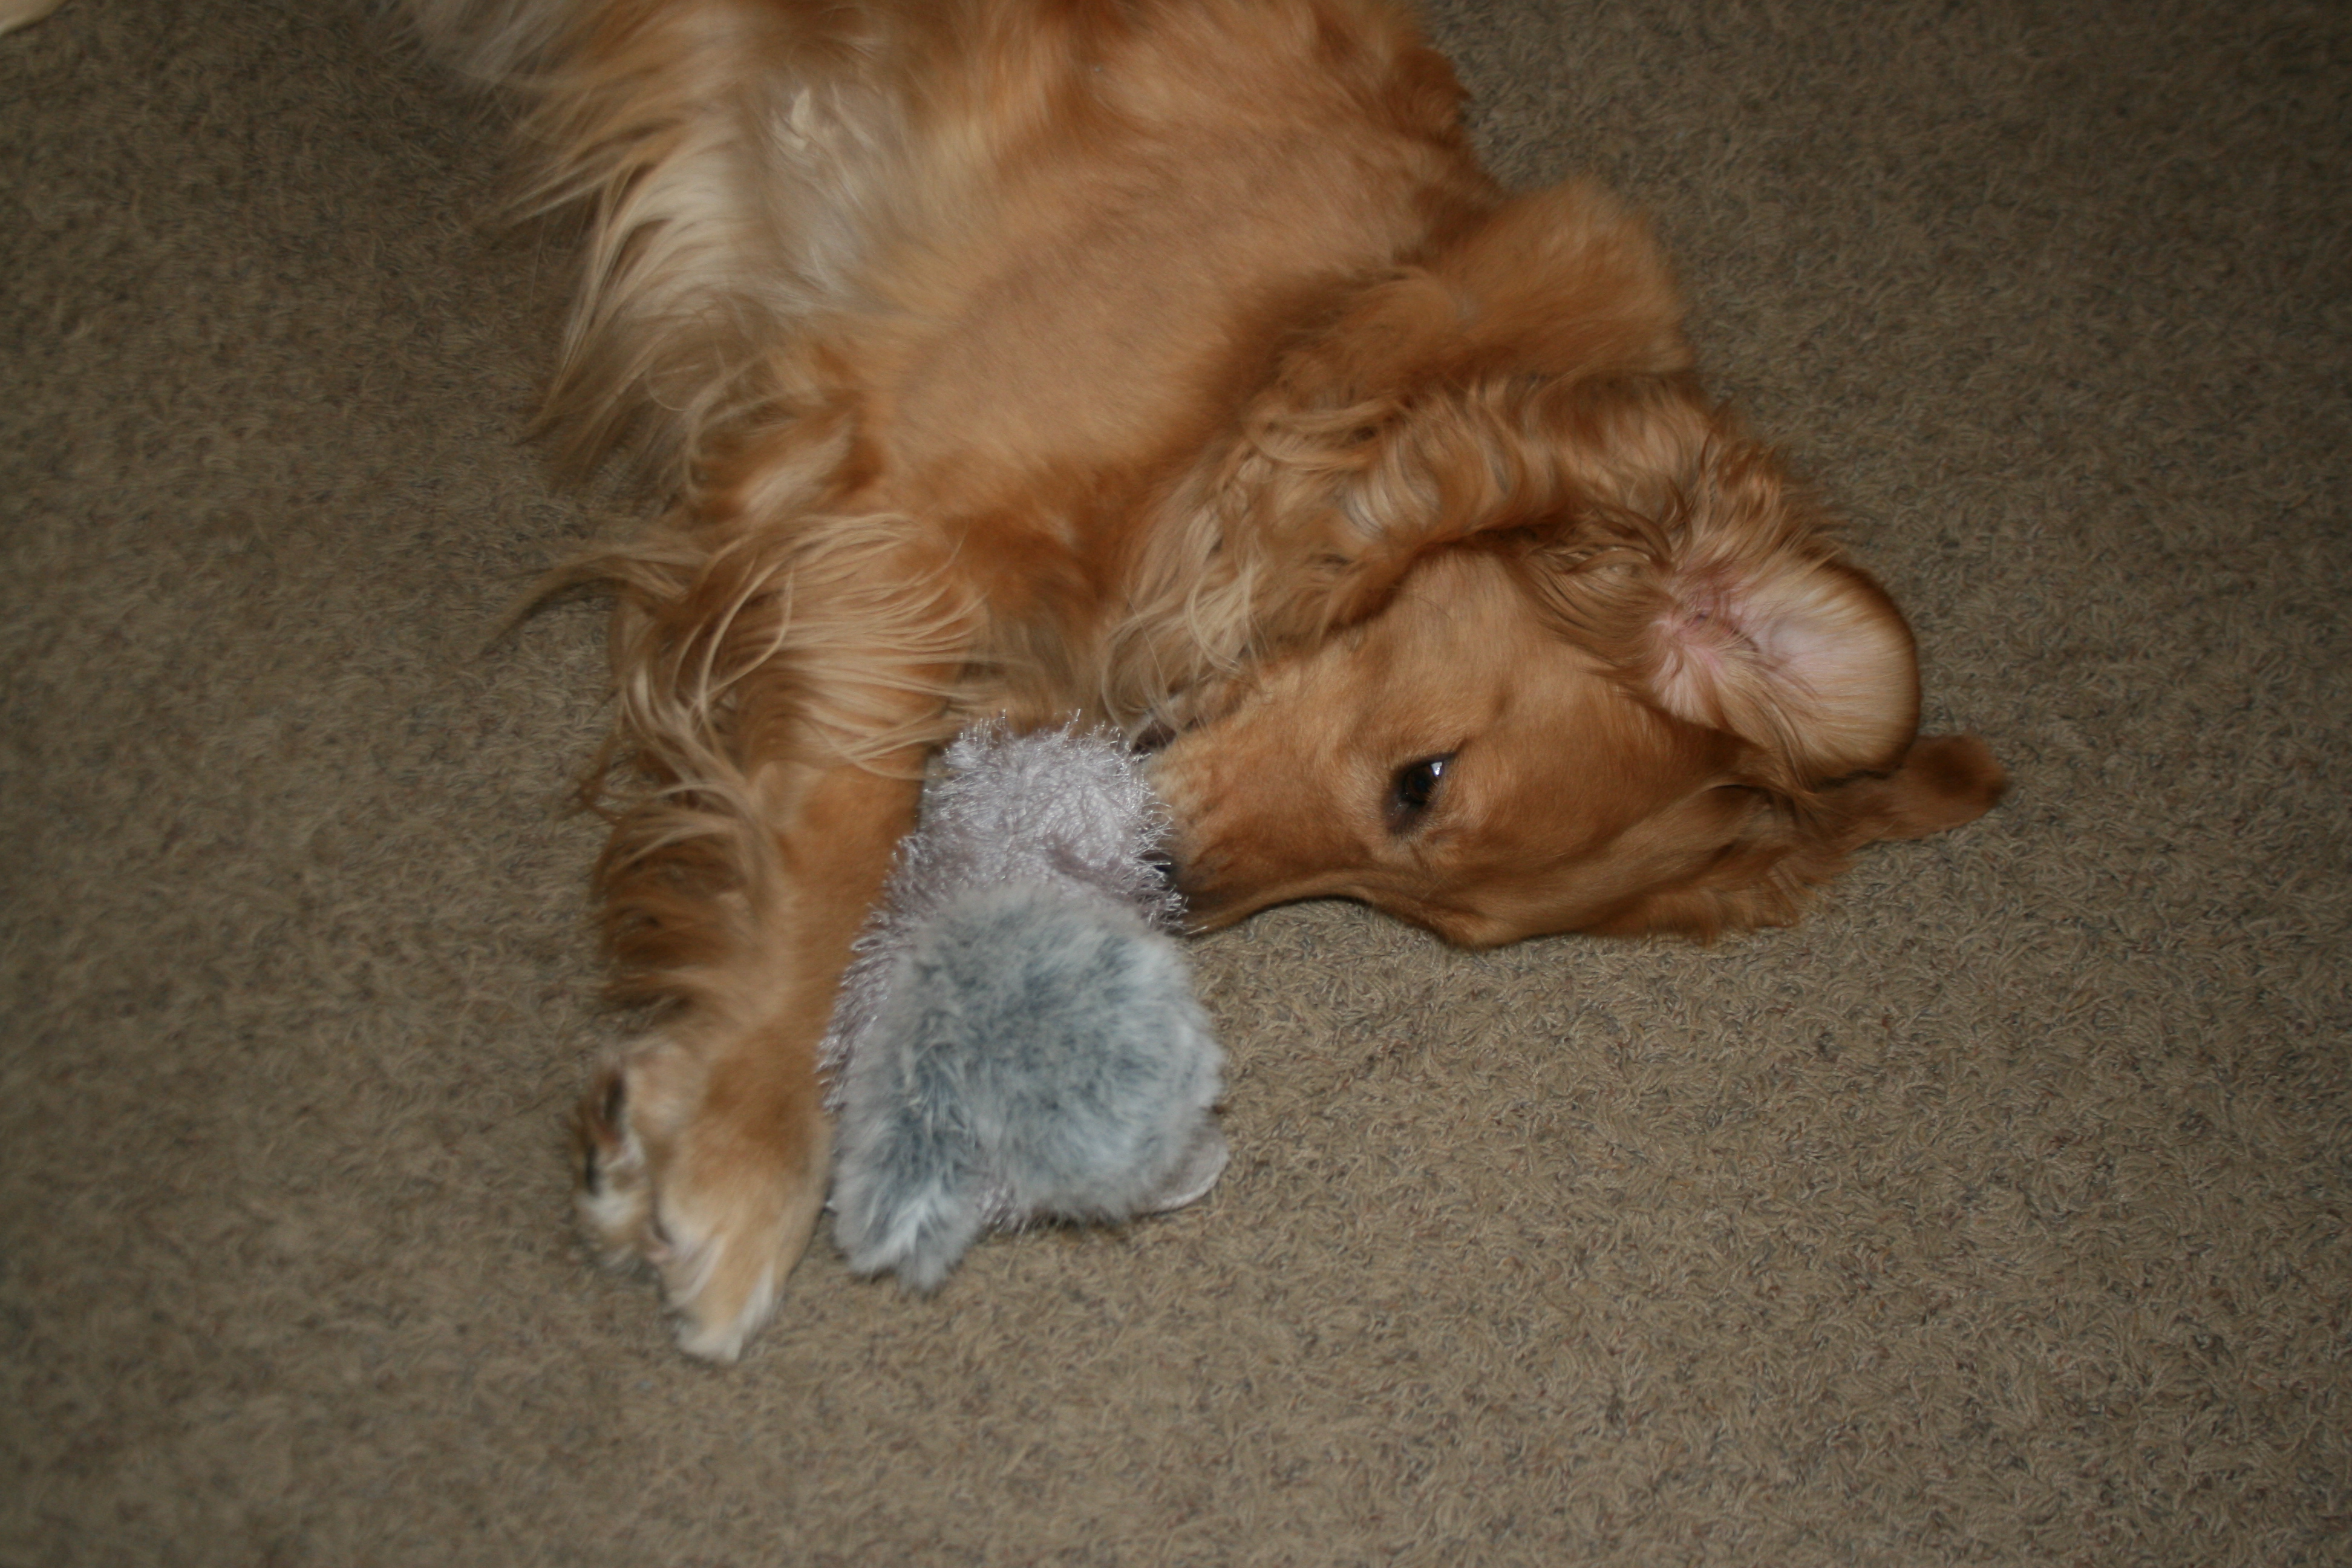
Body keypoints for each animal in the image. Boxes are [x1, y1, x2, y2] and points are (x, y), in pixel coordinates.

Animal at [416, 0, 2005, 1358]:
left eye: (1440, 919)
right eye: (1420, 783)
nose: (1171, 889)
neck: (1323, 339)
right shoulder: (886, 502)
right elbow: (842, 825)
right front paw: (742, 1150)